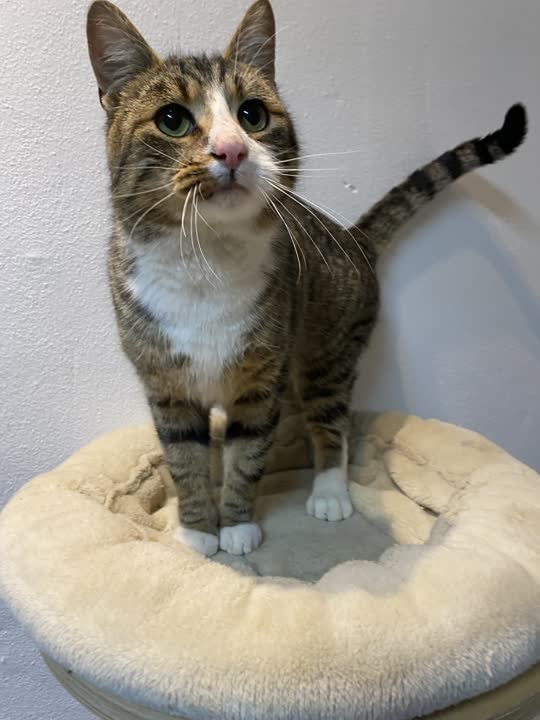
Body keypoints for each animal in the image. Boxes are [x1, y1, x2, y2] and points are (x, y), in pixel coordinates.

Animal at [87, 0, 527, 557]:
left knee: (333, 418)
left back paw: (329, 491)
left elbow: (246, 455)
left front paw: (236, 527)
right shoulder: (166, 386)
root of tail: (353, 239)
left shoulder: (262, 381)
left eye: (252, 114)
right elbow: (185, 460)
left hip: (327, 351)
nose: (232, 150)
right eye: (172, 119)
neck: (205, 260)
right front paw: (197, 530)